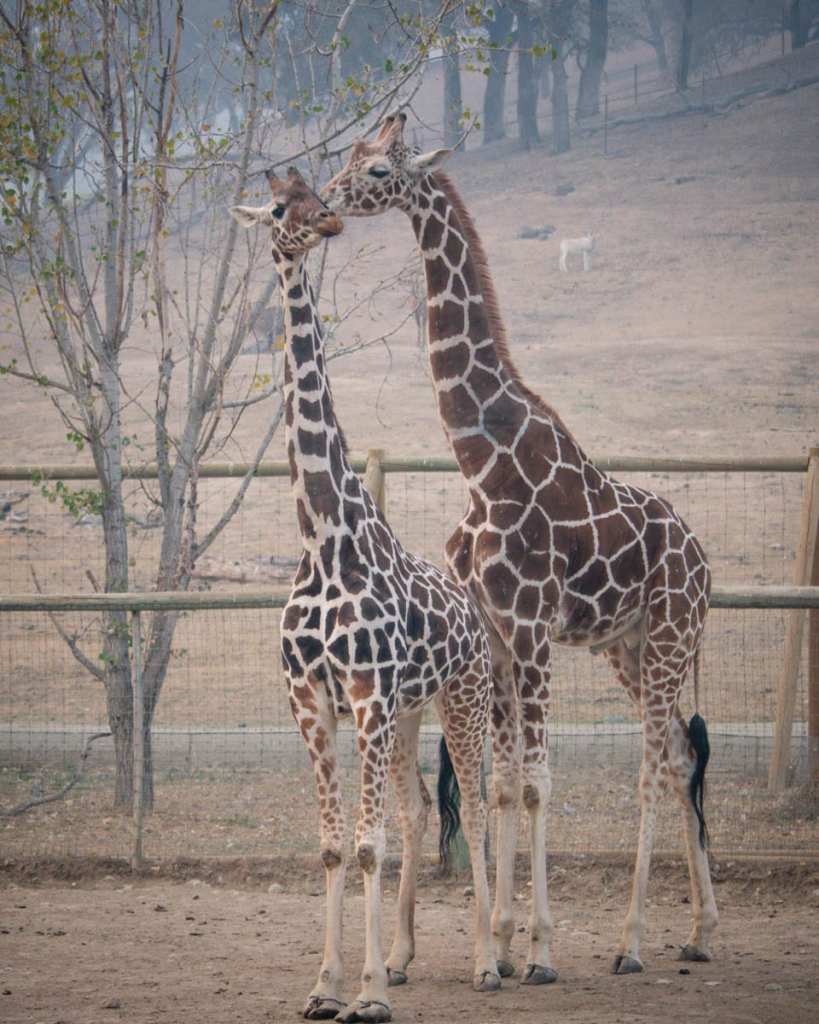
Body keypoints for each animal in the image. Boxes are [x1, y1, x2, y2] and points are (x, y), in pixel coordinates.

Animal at [230, 169, 499, 1024]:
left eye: (316, 193)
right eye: (279, 207)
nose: (327, 223)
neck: (323, 540)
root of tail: (471, 607)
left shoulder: (366, 694)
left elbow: (367, 842)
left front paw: (369, 994)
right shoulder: (313, 699)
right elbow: (331, 844)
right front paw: (327, 985)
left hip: (461, 698)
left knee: (477, 805)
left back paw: (488, 961)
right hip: (411, 712)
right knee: (417, 810)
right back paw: (408, 956)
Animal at [319, 114, 716, 983]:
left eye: (376, 168)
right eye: (346, 155)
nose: (326, 197)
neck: (482, 458)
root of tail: (706, 561)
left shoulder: (531, 628)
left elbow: (534, 782)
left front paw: (536, 948)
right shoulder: (497, 635)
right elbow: (499, 785)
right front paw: (497, 938)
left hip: (669, 637)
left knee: (652, 762)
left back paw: (632, 942)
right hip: (626, 646)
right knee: (677, 752)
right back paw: (702, 931)